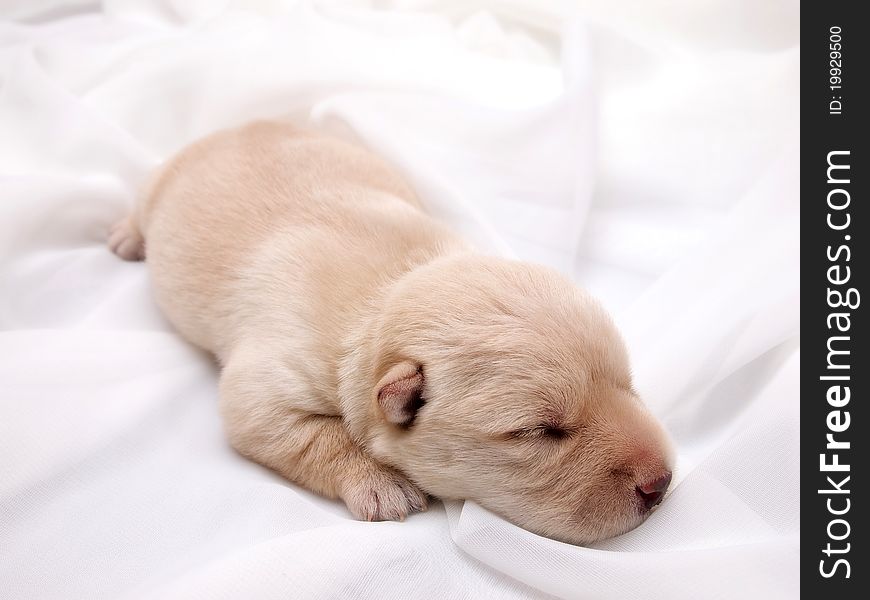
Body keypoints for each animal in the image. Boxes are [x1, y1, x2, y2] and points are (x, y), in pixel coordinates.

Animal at [109, 120, 676, 544]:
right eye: (541, 432)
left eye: (629, 385)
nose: (661, 482)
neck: (395, 284)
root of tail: (236, 124)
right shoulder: (267, 384)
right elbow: (303, 432)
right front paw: (381, 483)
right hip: (160, 185)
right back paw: (126, 237)